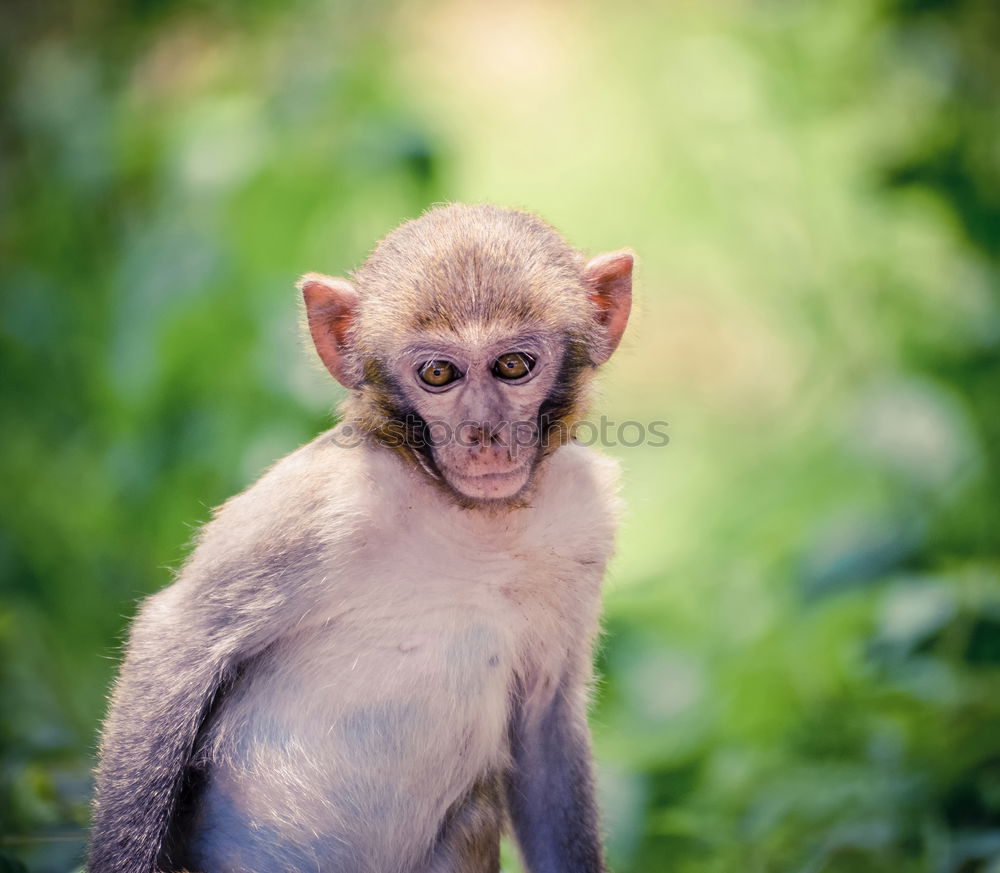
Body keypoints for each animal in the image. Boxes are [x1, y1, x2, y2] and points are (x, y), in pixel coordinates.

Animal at [88, 203, 632, 872]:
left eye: (513, 366)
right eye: (438, 373)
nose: (483, 433)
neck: (473, 516)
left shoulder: (583, 516)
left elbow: (544, 719)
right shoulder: (320, 501)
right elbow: (178, 640)